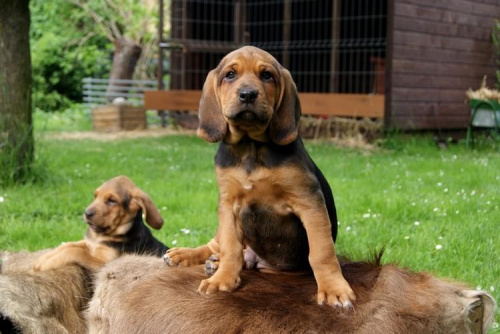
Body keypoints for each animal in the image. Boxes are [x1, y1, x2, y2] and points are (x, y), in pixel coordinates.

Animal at [166, 45, 354, 306]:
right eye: (230, 75)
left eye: (267, 76)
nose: (247, 95)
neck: (250, 146)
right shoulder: (228, 204)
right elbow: (230, 248)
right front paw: (222, 279)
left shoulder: (309, 202)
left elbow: (322, 252)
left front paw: (334, 288)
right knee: (217, 246)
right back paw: (188, 255)